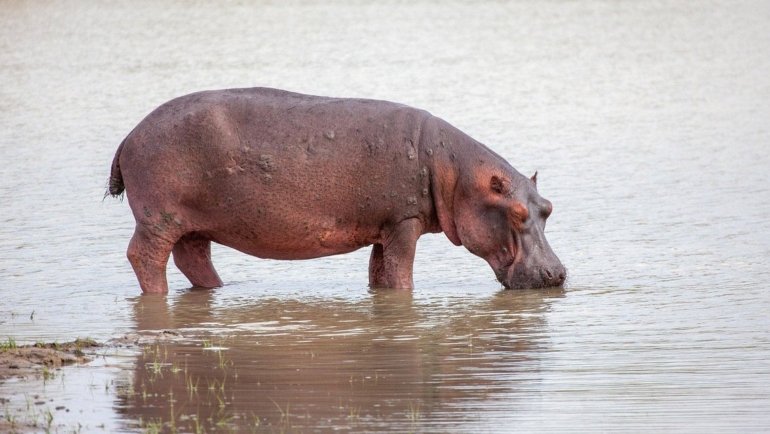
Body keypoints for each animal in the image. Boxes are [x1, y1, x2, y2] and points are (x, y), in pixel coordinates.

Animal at [108, 87, 565, 293]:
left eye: (547, 207)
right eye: (517, 214)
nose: (558, 273)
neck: (455, 172)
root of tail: (128, 135)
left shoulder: (385, 226)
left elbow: (381, 273)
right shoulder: (404, 221)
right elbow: (401, 273)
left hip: (193, 225)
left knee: (193, 259)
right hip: (159, 218)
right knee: (145, 256)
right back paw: (159, 294)